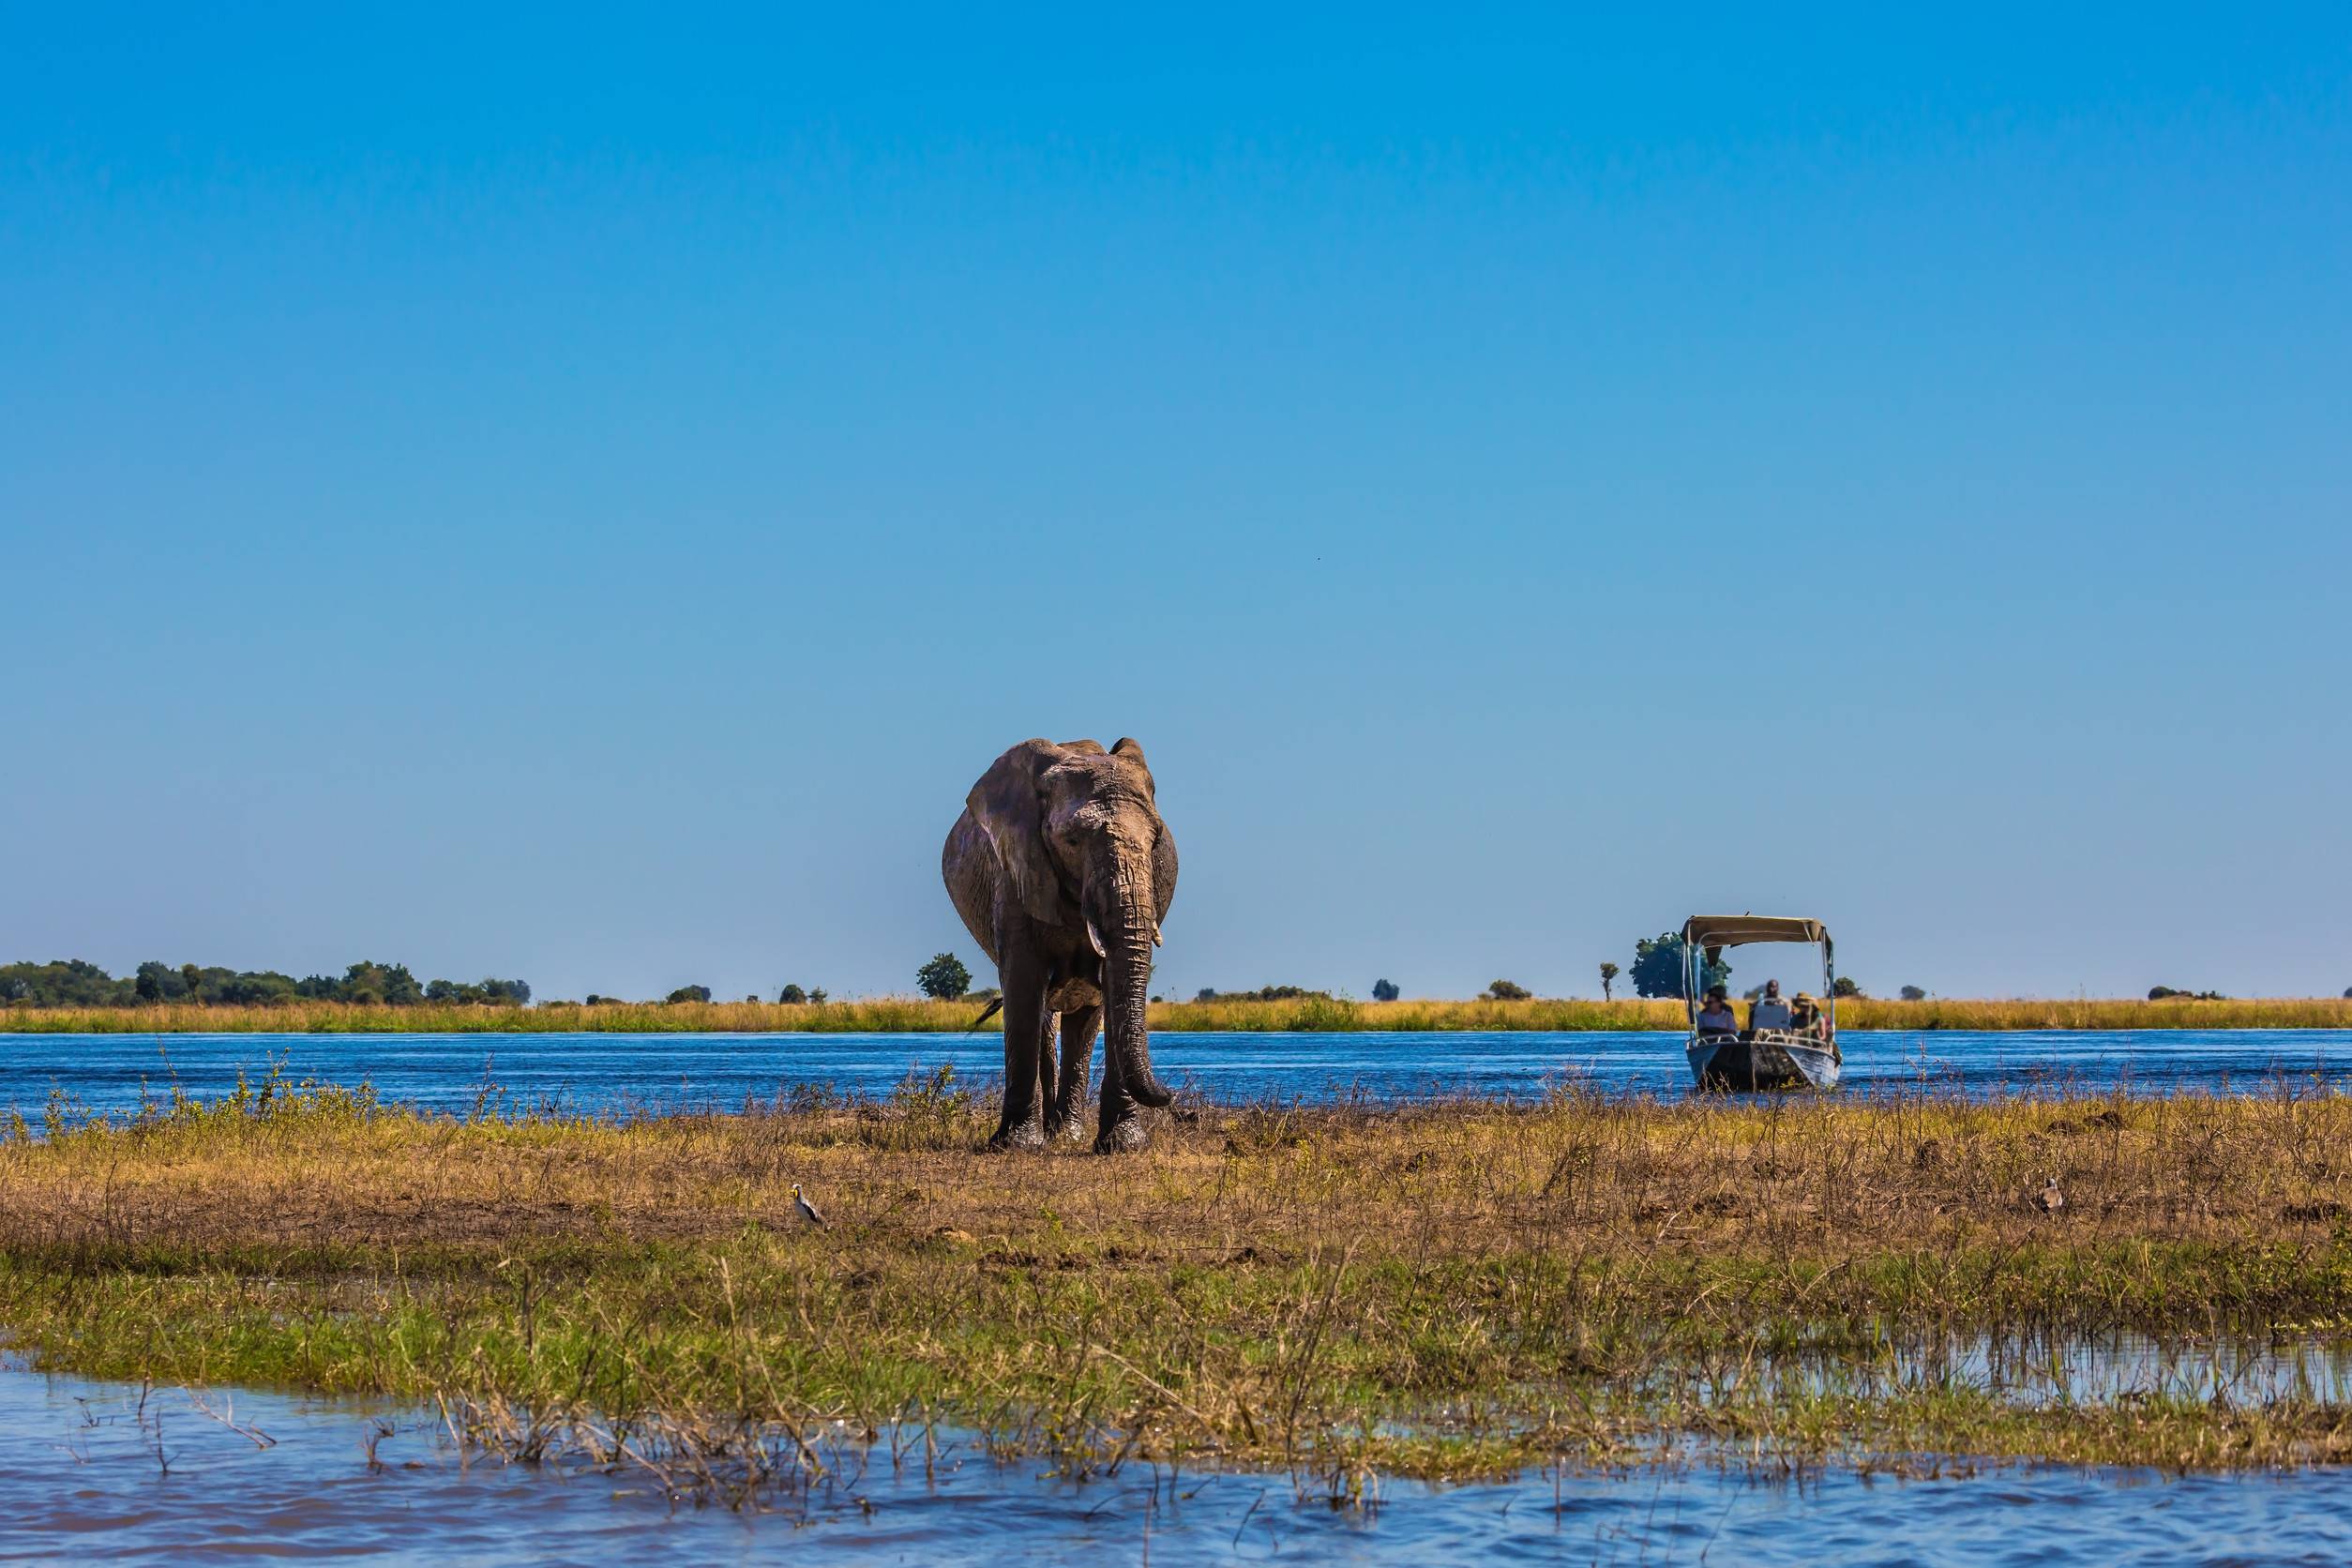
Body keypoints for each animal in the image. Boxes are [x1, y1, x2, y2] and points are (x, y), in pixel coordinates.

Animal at [942, 737, 1177, 1152]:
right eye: (1072, 841)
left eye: (1156, 841)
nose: (1171, 1095)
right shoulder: (1014, 872)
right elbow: (1022, 983)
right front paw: (1016, 1146)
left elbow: (1111, 984)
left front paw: (1123, 1146)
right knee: (1043, 1014)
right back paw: (1051, 1133)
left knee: (1084, 1014)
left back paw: (1066, 1133)